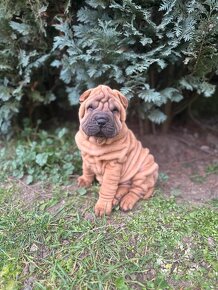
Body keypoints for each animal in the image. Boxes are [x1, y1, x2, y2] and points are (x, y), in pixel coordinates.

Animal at [75, 84, 158, 215]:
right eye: (90, 107)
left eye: (114, 110)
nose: (101, 120)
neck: (96, 142)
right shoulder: (85, 155)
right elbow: (87, 169)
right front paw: (85, 180)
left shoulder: (113, 165)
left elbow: (107, 187)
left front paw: (103, 207)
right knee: (124, 187)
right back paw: (116, 198)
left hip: (143, 174)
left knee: (136, 190)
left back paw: (126, 202)